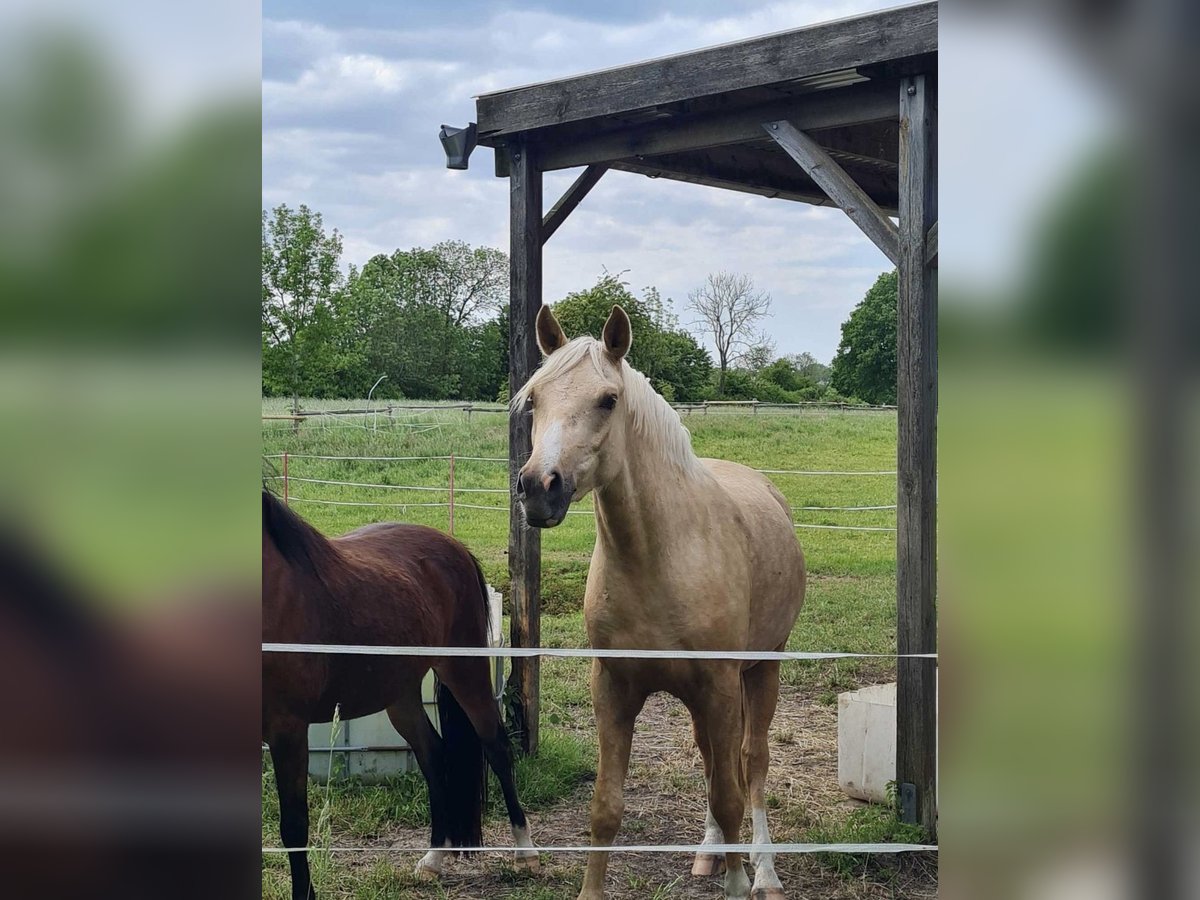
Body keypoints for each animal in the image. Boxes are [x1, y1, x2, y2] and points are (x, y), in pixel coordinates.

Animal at [261, 494, 535, 900]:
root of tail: (454, 546)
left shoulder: (288, 731)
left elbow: (294, 826)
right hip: (401, 695)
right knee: (433, 755)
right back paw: (434, 859)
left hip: (465, 674)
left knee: (497, 748)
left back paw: (525, 852)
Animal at [516, 309, 806, 900]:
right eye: (534, 398)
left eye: (608, 399)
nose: (538, 488)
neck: (660, 559)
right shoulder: (614, 690)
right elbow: (606, 808)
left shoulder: (720, 685)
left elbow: (731, 795)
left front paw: (740, 883)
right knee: (713, 759)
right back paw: (709, 853)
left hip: (763, 669)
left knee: (751, 763)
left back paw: (764, 870)